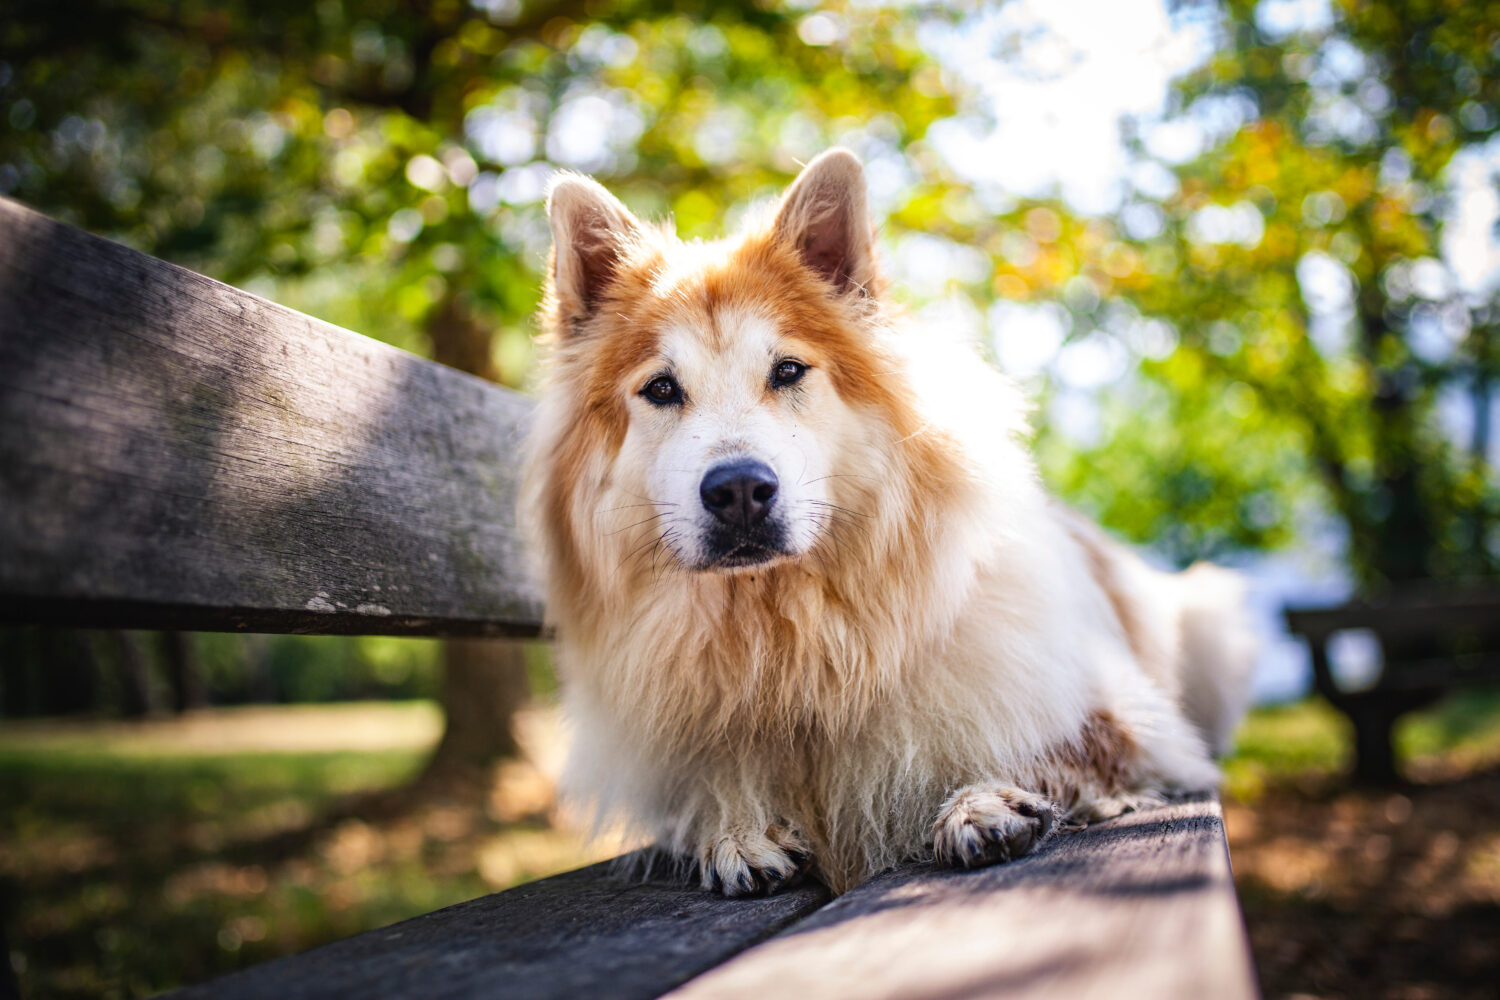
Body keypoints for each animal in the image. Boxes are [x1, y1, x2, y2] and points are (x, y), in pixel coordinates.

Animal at [522, 148, 1260, 899]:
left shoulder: (1127, 720)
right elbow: (702, 802)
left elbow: (1045, 748)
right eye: (662, 388)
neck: (794, 648)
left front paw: (982, 800)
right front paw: (735, 829)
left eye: (788, 371)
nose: (740, 491)